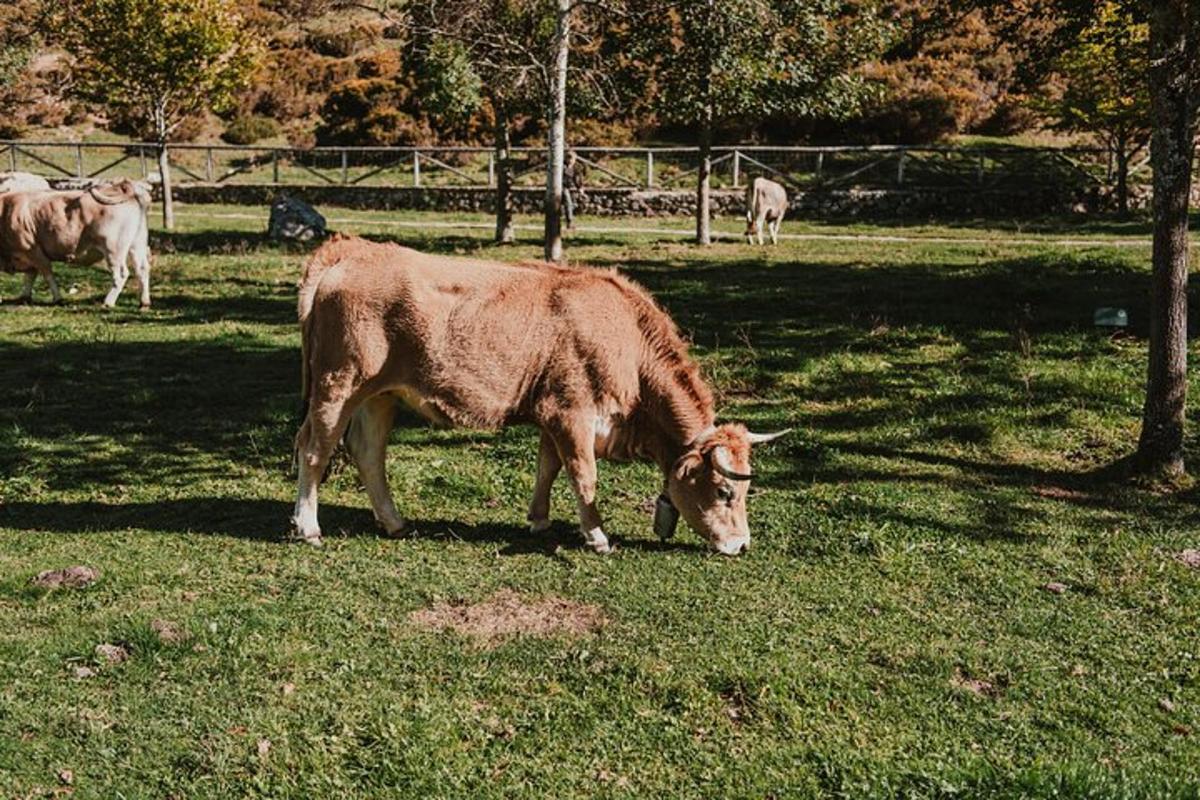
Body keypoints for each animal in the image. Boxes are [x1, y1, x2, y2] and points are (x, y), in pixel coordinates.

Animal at [0, 178, 153, 307]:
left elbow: (47, 274)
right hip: (137, 244)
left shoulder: (33, 251)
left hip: (113, 249)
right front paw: (24, 297)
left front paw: (58, 298)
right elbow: (30, 276)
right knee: (142, 269)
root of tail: (125, 187)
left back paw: (108, 302)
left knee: (121, 274)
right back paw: (144, 302)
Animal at [292, 235, 787, 554]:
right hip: (338, 383)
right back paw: (308, 527)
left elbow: (548, 467)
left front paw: (538, 519)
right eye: (724, 491)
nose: (742, 545)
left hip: (380, 393)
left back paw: (393, 522)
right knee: (315, 449)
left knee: (368, 451)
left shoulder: (552, 413)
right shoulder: (572, 412)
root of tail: (351, 250)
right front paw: (598, 536)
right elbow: (584, 475)